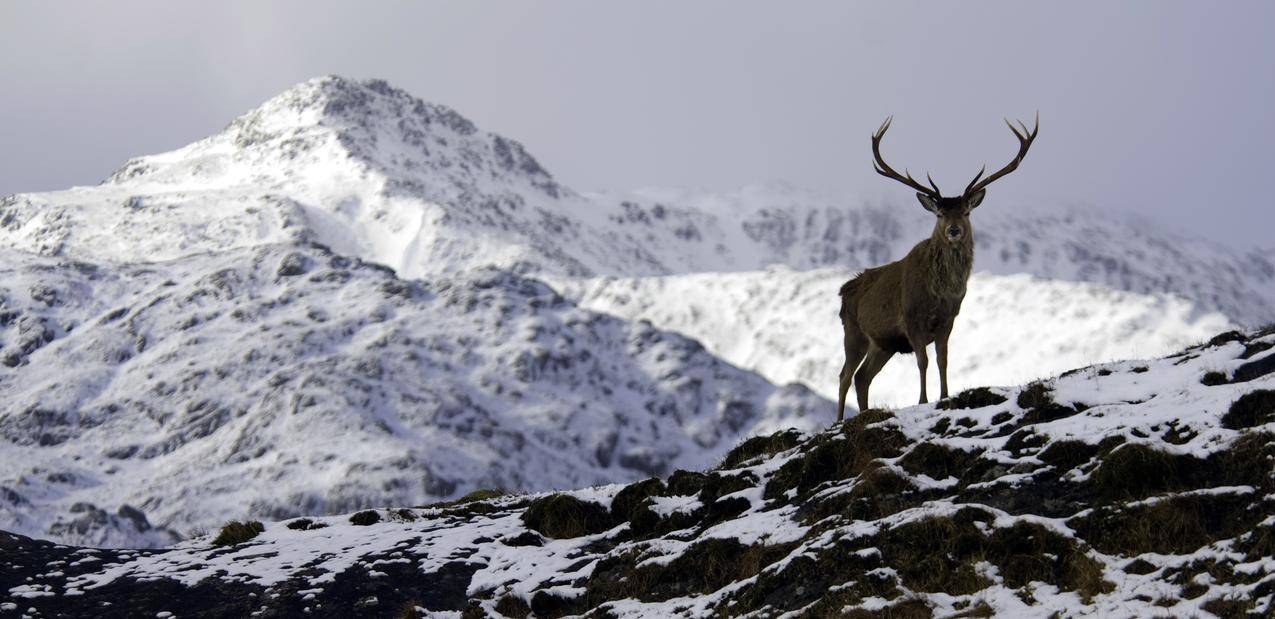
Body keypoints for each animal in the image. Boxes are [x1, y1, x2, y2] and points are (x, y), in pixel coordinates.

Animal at [836, 115, 1035, 418]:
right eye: (940, 213)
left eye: (966, 211)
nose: (954, 230)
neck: (939, 293)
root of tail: (844, 290)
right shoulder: (911, 319)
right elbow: (923, 361)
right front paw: (922, 400)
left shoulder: (948, 320)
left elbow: (943, 359)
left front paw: (944, 395)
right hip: (853, 332)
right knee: (845, 376)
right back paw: (837, 421)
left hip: (883, 344)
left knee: (862, 377)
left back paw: (864, 413)